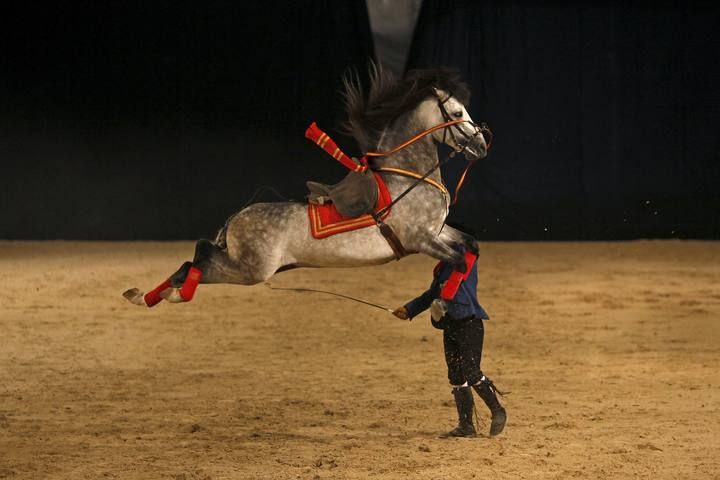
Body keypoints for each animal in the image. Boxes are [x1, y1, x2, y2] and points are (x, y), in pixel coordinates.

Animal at [126, 64, 492, 308]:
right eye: (456, 113)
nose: (481, 145)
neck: (408, 176)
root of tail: (237, 218)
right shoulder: (420, 238)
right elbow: (458, 260)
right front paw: (441, 303)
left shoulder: (438, 231)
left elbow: (469, 247)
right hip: (251, 270)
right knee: (198, 259)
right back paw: (164, 295)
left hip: (248, 266)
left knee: (196, 258)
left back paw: (148, 295)